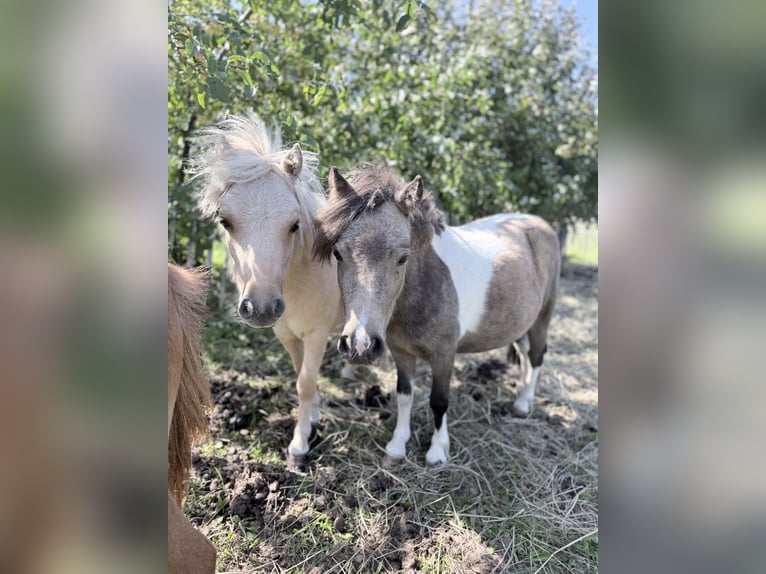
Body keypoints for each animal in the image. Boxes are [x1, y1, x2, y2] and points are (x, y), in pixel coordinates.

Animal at [190, 114, 350, 470]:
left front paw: (299, 447)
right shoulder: (288, 336)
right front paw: (313, 419)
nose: (261, 308)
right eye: (225, 221)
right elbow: (302, 376)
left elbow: (305, 383)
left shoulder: (317, 335)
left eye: (294, 224)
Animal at [313, 167, 560, 465]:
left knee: (536, 355)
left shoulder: (444, 354)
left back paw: (524, 404)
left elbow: (439, 400)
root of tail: (538, 223)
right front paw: (397, 447)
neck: (426, 282)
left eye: (403, 258)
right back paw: (521, 395)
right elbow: (404, 395)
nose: (360, 345)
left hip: (542, 317)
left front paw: (437, 452)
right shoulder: (401, 353)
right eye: (338, 253)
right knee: (524, 352)